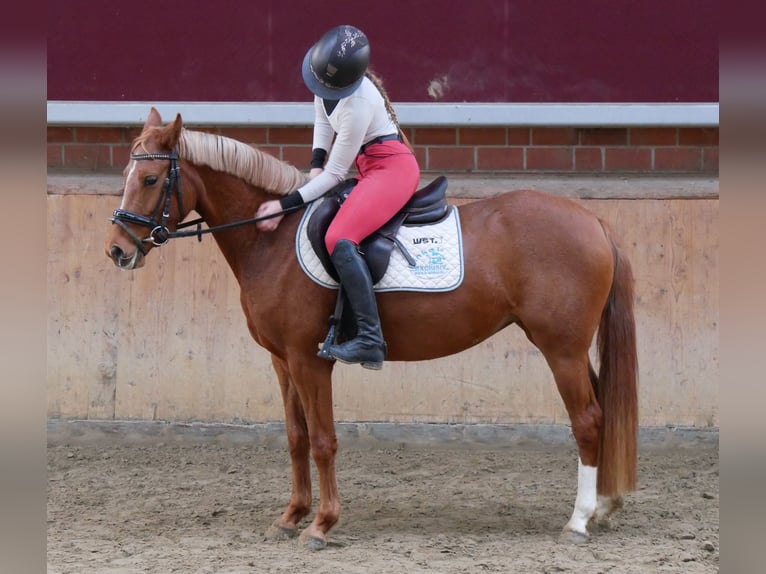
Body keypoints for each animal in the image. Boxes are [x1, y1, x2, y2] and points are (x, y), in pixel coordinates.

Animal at [105, 109, 640, 552]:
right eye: (127, 175)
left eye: (150, 178)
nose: (117, 250)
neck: (272, 240)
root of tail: (591, 220)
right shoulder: (282, 361)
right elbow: (296, 438)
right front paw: (291, 517)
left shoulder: (309, 360)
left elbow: (323, 440)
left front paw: (322, 524)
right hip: (570, 350)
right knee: (603, 411)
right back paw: (604, 509)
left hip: (560, 349)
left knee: (588, 419)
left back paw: (578, 521)